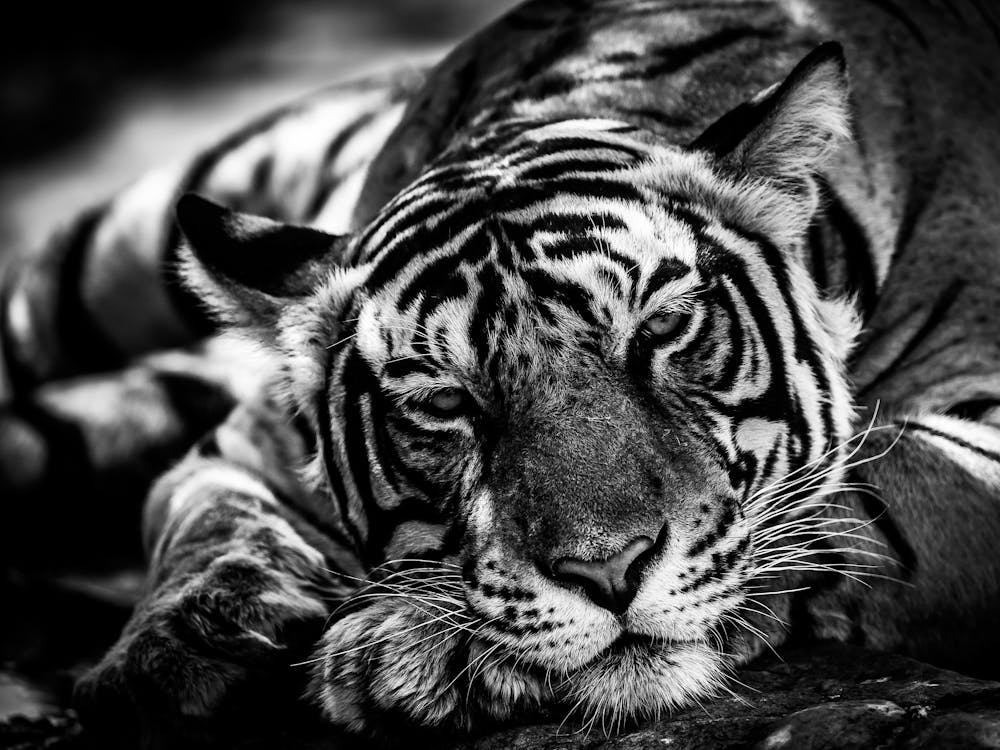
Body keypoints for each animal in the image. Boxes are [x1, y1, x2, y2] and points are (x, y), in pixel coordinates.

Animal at [2, 0, 999, 745]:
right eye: (446, 401)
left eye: (664, 328)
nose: (609, 573)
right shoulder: (244, 444)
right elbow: (202, 519)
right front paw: (169, 653)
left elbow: (858, 501)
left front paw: (411, 648)